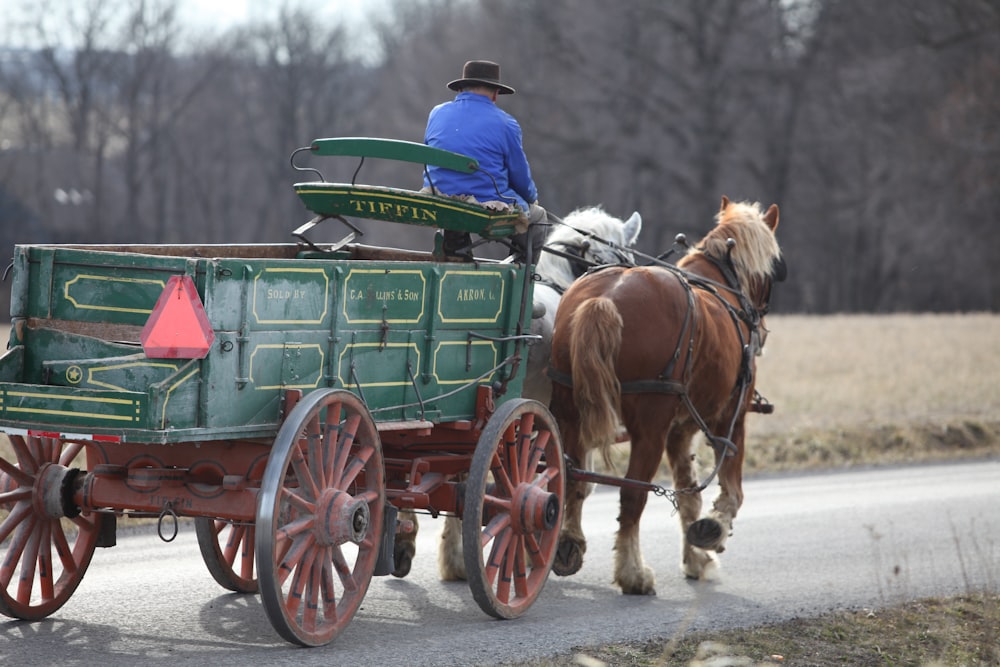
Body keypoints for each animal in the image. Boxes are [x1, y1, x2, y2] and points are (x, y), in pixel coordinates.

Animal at [552, 197, 784, 596]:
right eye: (774, 269)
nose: (762, 329)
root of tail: (603, 301)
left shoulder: (680, 429)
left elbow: (688, 493)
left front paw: (696, 559)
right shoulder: (730, 417)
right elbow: (731, 490)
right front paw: (713, 530)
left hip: (570, 413)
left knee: (573, 479)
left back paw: (568, 543)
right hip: (650, 429)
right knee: (632, 495)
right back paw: (633, 573)